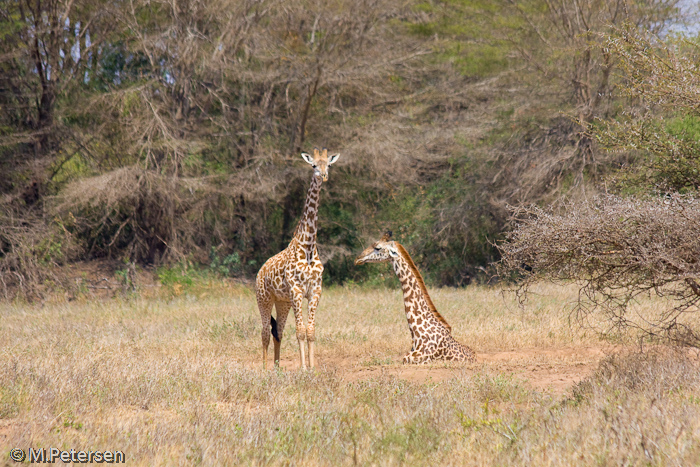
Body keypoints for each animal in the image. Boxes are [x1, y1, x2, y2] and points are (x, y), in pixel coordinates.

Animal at [256, 148, 340, 372]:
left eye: (328, 164)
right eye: (313, 165)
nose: (323, 176)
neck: (308, 246)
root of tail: (260, 271)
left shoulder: (315, 291)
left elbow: (310, 330)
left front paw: (313, 368)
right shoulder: (296, 291)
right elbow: (300, 330)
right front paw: (303, 368)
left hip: (282, 302)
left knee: (278, 332)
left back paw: (277, 368)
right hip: (263, 299)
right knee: (265, 332)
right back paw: (265, 369)